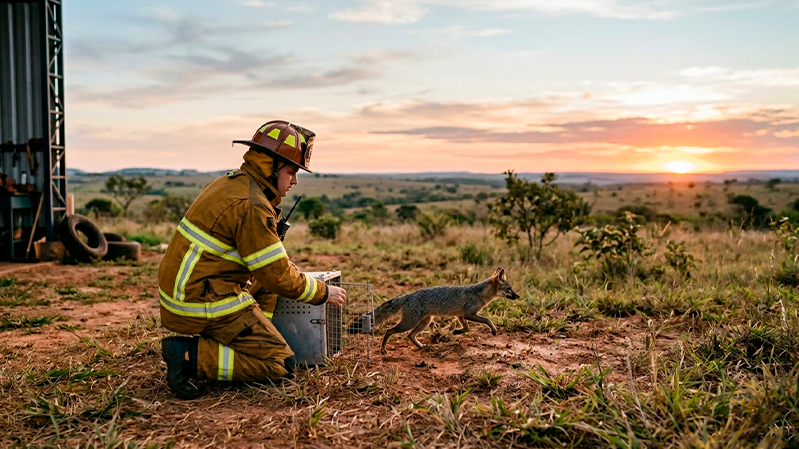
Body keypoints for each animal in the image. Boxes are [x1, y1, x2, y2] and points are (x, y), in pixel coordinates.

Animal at [366, 266, 520, 354]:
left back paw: (422, 347)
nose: (518, 296)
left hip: (425, 322)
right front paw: (493, 330)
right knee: (389, 330)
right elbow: (487, 320)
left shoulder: (461, 316)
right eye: (509, 289)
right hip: (409, 323)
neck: (479, 293)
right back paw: (383, 349)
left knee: (410, 335)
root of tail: (409, 295)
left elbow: (467, 328)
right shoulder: (469, 314)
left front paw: (457, 332)